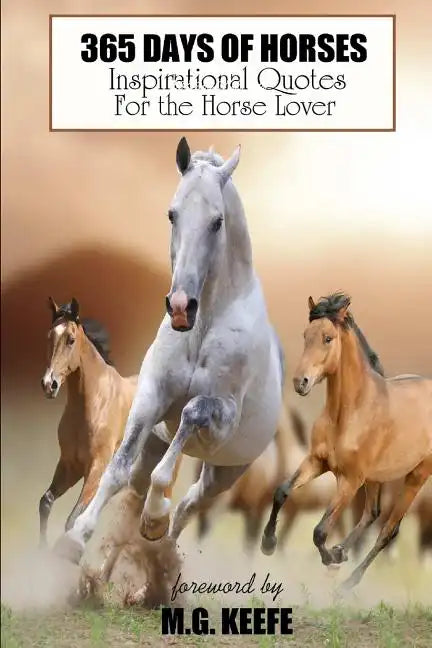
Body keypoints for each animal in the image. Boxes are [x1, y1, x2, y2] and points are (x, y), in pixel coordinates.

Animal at [39, 297, 138, 546]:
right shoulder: (69, 465)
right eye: (49, 337)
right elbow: (46, 502)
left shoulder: (96, 468)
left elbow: (72, 520)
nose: (49, 384)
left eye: (71, 340)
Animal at [55, 138, 284, 567]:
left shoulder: (221, 417)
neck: (203, 327)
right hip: (159, 444)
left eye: (217, 221)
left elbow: (189, 418)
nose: (180, 307)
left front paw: (154, 518)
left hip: (225, 471)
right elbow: (118, 469)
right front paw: (76, 538)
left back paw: (159, 543)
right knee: (142, 486)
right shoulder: (151, 397)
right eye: (172, 214)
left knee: (189, 505)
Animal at [261, 292, 432, 591]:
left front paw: (330, 559)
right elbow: (281, 491)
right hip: (376, 477)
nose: (300, 382)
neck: (350, 412)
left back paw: (347, 582)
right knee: (373, 513)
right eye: (305, 335)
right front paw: (268, 543)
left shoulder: (350, 479)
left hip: (415, 477)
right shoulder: (317, 461)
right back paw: (342, 551)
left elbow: (319, 531)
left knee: (388, 529)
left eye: (328, 338)